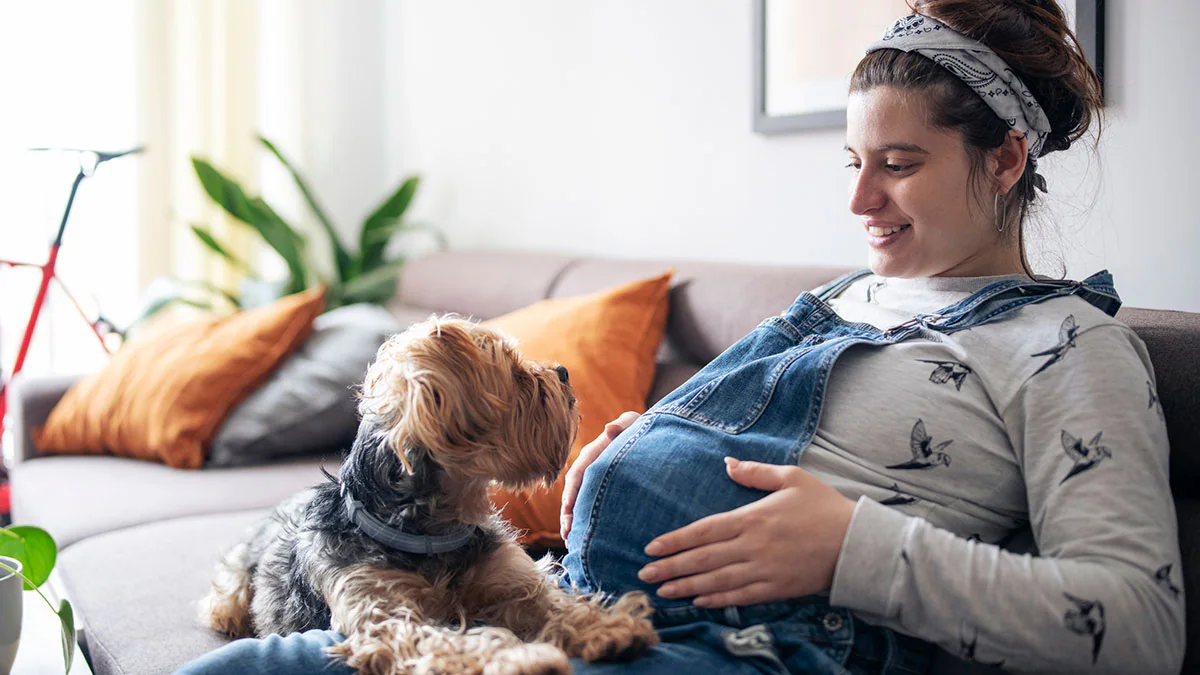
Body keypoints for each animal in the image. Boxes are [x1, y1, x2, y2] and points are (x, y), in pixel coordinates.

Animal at [201, 317, 662, 672]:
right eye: (515, 374)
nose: (564, 371)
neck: (432, 530)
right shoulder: (385, 614)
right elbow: (448, 641)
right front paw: (519, 660)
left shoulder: (509, 579)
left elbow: (553, 601)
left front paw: (607, 627)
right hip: (235, 582)